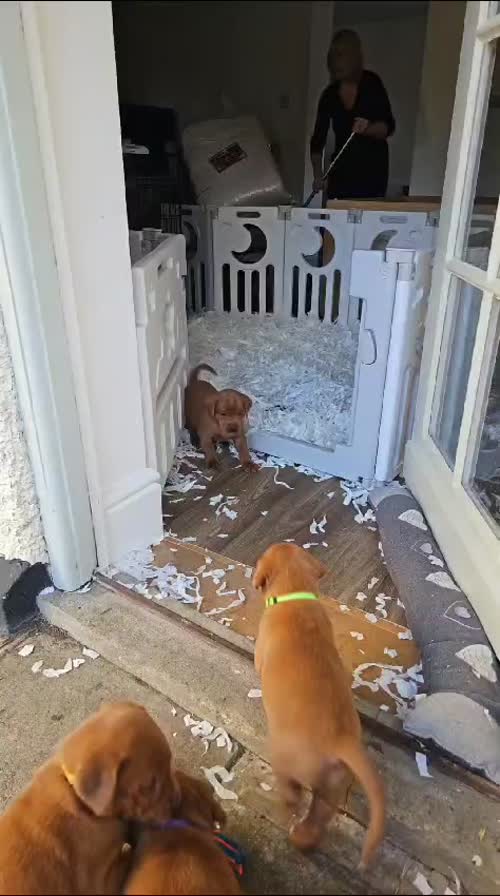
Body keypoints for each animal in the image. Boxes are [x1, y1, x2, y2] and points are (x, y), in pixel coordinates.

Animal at [0, 704, 179, 892]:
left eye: (169, 762)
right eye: (147, 788)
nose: (178, 801)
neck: (76, 797)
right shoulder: (101, 883)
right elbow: (128, 856)